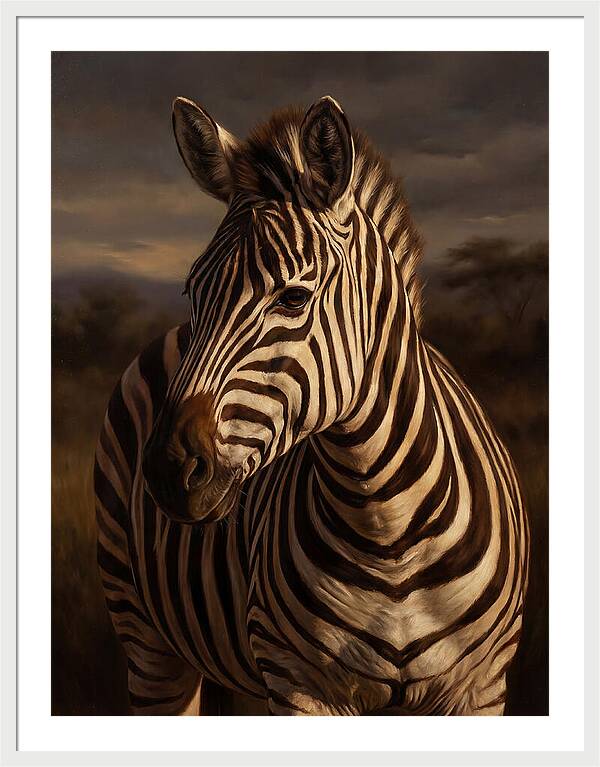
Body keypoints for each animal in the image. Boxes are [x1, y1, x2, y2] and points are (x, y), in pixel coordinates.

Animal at [94, 95, 529, 716]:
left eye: (295, 297)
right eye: (192, 292)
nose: (168, 470)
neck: (387, 530)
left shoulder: (481, 687)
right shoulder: (300, 682)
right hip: (146, 635)